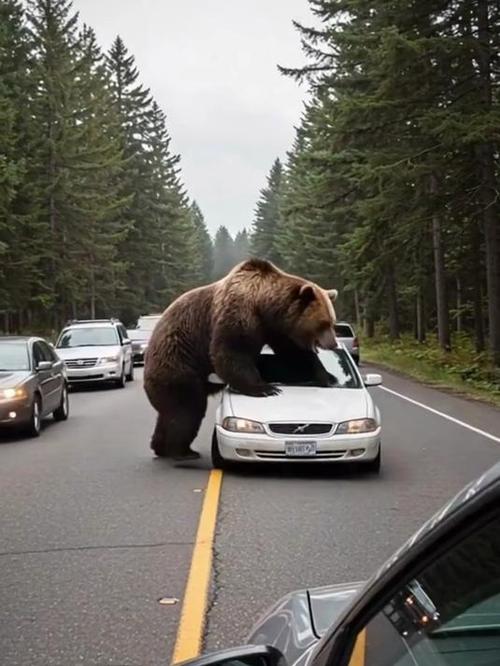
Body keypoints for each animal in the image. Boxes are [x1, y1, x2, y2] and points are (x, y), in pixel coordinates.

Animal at [143, 258, 339, 461]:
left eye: (332, 321)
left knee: (169, 412)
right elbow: (232, 351)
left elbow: (294, 354)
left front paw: (328, 376)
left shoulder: (277, 329)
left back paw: (160, 447)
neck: (265, 307)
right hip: (178, 362)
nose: (333, 344)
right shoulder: (239, 313)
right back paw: (182, 452)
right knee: (187, 408)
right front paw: (266, 388)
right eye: (323, 324)